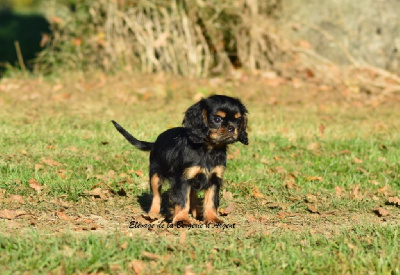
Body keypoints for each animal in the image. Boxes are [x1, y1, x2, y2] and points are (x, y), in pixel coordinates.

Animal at [111, 95, 247, 224]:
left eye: (238, 119)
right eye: (217, 119)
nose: (232, 128)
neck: (208, 149)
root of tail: (155, 142)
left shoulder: (214, 179)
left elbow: (211, 201)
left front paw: (212, 219)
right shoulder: (181, 179)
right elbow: (182, 200)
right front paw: (182, 219)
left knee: (192, 195)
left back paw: (196, 212)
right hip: (155, 175)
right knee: (156, 196)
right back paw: (153, 214)